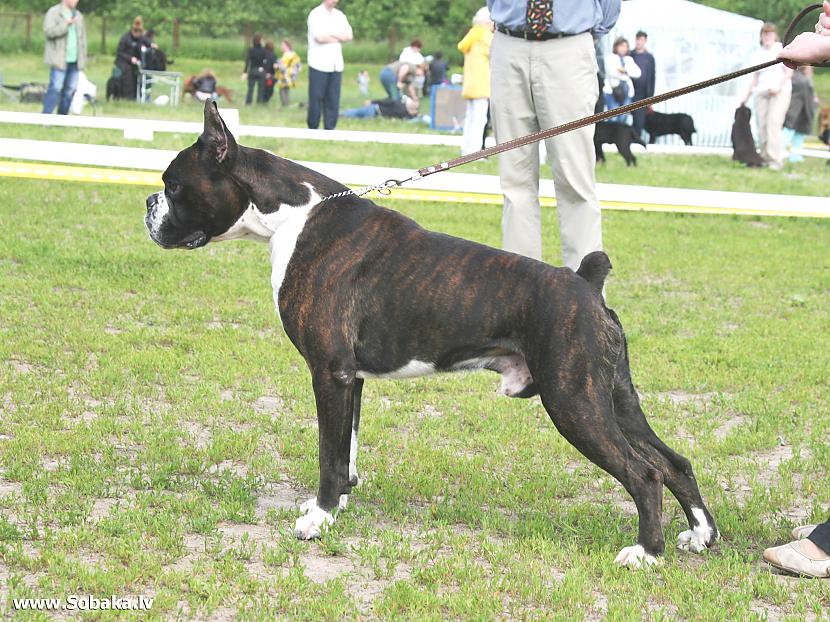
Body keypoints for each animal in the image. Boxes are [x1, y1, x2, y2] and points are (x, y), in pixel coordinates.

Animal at [146, 103, 720, 572]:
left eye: (173, 186)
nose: (149, 202)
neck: (292, 215)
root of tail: (585, 282)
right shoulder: (351, 378)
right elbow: (346, 450)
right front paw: (337, 506)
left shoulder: (329, 372)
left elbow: (329, 453)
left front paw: (319, 519)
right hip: (613, 397)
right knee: (673, 462)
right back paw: (700, 536)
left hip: (573, 401)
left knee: (643, 473)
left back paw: (645, 553)